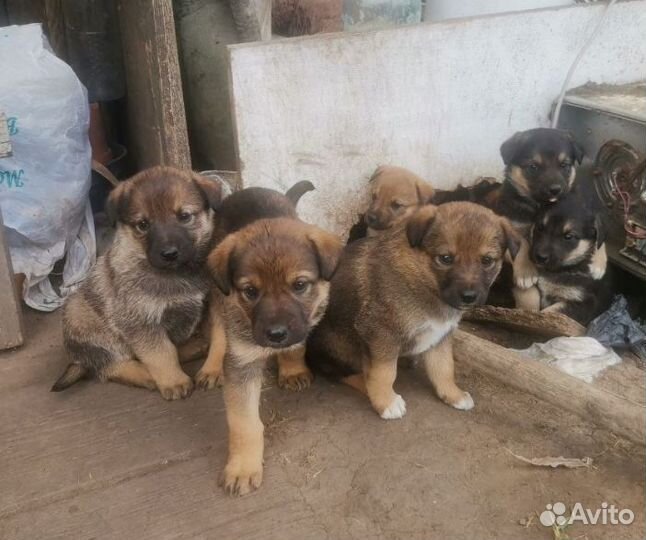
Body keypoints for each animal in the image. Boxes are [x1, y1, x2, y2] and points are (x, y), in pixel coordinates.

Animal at [51, 167, 223, 398]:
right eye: (143, 225)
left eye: (184, 216)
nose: (169, 254)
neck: (178, 273)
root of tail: (77, 360)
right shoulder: (140, 321)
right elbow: (160, 352)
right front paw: (173, 381)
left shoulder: (215, 302)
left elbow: (220, 337)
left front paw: (214, 368)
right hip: (79, 317)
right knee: (111, 366)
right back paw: (148, 375)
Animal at [306, 201, 520, 418]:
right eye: (445, 258)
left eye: (487, 261)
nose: (469, 296)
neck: (423, 282)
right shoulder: (380, 333)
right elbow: (383, 373)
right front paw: (386, 402)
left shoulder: (441, 335)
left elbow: (444, 368)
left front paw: (453, 394)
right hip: (334, 344)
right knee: (336, 370)